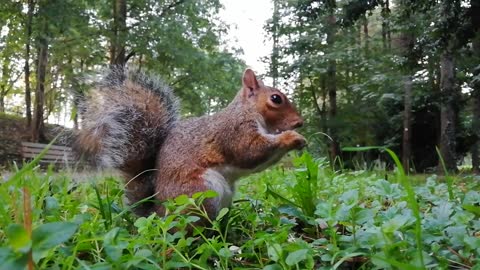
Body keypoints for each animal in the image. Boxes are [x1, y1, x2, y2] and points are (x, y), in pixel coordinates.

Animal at [77, 67, 306, 221]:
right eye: (276, 99)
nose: (300, 122)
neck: (247, 112)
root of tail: (158, 214)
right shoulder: (234, 132)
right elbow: (251, 151)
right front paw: (292, 138)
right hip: (200, 193)